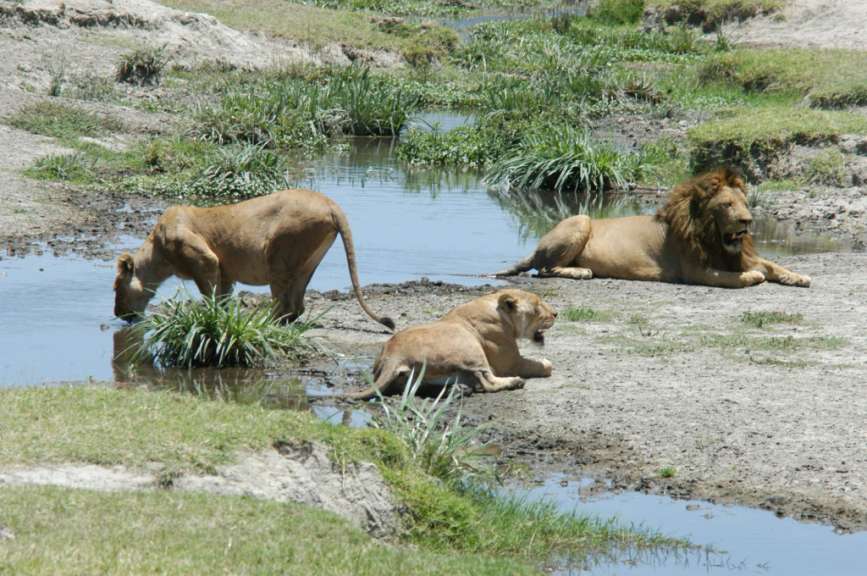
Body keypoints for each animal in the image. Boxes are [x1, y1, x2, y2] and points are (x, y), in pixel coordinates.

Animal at [114, 188, 395, 330]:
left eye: (117, 288)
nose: (117, 314)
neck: (157, 252)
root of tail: (330, 203)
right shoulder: (225, 272)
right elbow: (223, 296)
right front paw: (222, 317)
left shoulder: (206, 260)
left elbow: (210, 294)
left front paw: (211, 317)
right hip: (308, 262)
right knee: (297, 306)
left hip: (281, 252)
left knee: (284, 305)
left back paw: (264, 323)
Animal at [345, 289, 556, 400]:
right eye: (537, 307)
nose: (556, 313)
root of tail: (393, 355)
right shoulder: (511, 364)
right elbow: (545, 366)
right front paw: (545, 364)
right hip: (470, 347)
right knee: (489, 382)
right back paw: (514, 382)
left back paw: (459, 389)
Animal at [496, 168, 811, 289]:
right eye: (727, 205)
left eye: (745, 203)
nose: (747, 221)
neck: (714, 237)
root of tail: (538, 245)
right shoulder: (696, 270)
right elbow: (738, 277)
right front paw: (753, 277)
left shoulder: (739, 255)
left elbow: (772, 264)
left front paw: (799, 276)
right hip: (581, 219)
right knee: (544, 268)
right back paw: (581, 271)